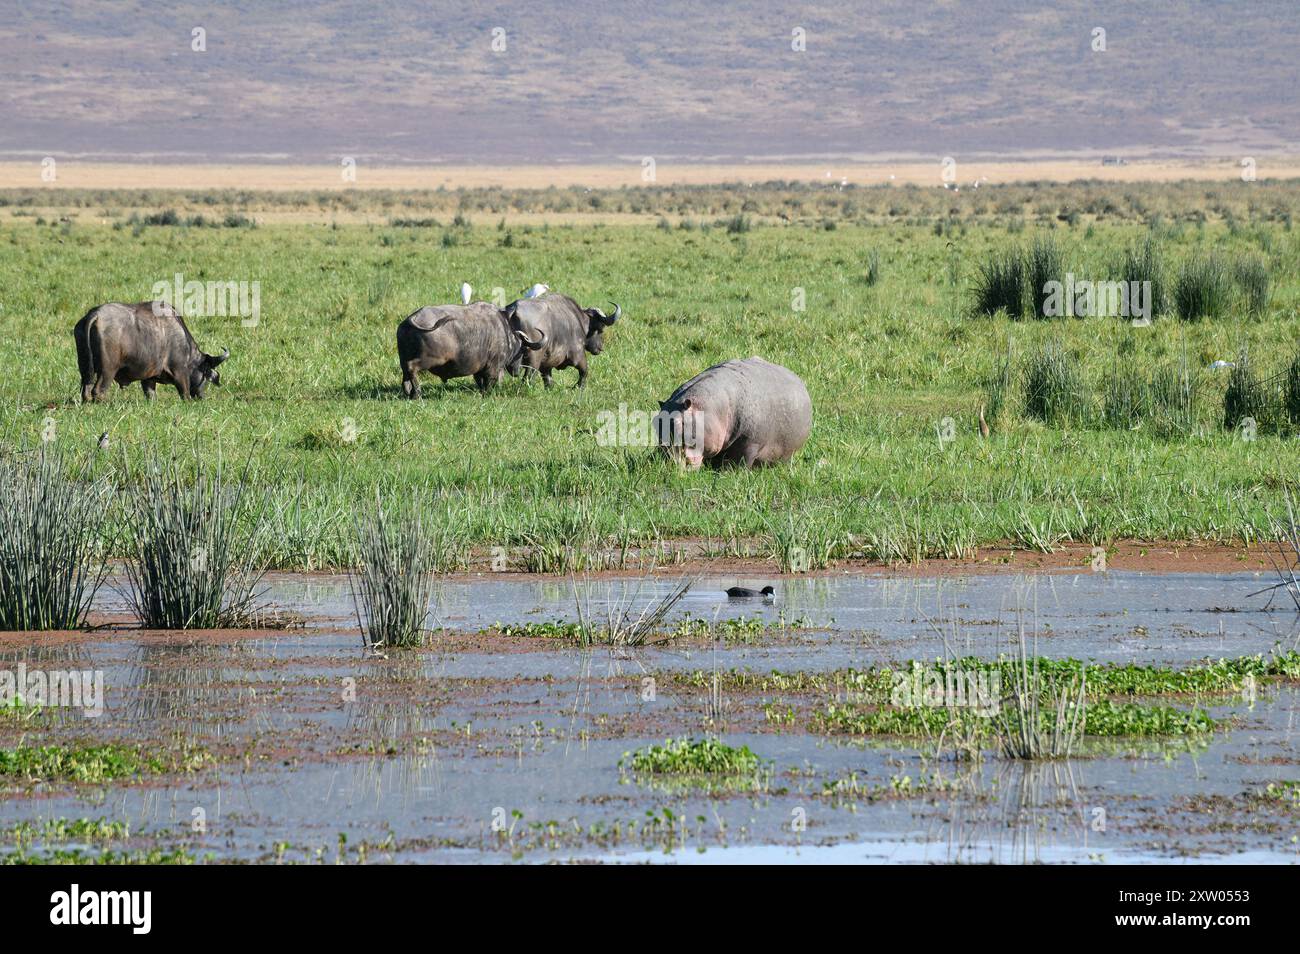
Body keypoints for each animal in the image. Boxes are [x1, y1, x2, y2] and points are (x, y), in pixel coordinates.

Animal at [73, 300, 228, 402]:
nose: (201, 398)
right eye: (206, 373)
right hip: (108, 370)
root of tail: (95, 315)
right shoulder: (180, 371)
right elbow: (184, 393)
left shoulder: (148, 377)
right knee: (98, 391)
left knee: (86, 389)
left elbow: (150, 394)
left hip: (85, 368)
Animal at [392, 302, 540, 400]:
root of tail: (412, 319)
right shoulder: (493, 367)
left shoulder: (479, 369)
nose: (517, 371)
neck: (504, 330)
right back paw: (417, 393)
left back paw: (408, 392)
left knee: (405, 373)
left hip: (403, 357)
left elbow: (480, 382)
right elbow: (489, 383)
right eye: (522, 350)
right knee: (411, 367)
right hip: (432, 359)